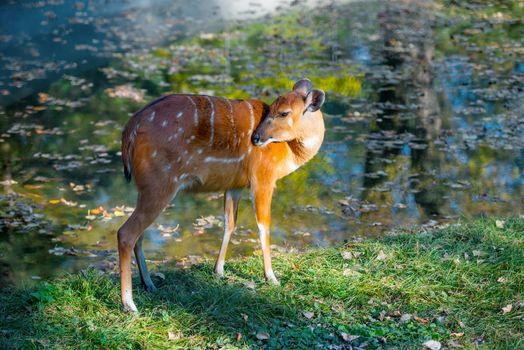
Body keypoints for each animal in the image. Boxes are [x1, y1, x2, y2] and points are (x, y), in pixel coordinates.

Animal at [117, 78, 326, 312]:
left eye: (283, 112)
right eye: (273, 109)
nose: (256, 138)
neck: (288, 152)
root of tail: (130, 129)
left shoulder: (235, 184)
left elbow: (230, 223)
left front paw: (218, 271)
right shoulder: (262, 177)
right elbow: (263, 226)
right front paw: (271, 278)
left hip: (146, 187)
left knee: (139, 235)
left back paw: (149, 284)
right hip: (160, 183)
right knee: (126, 233)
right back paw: (129, 304)